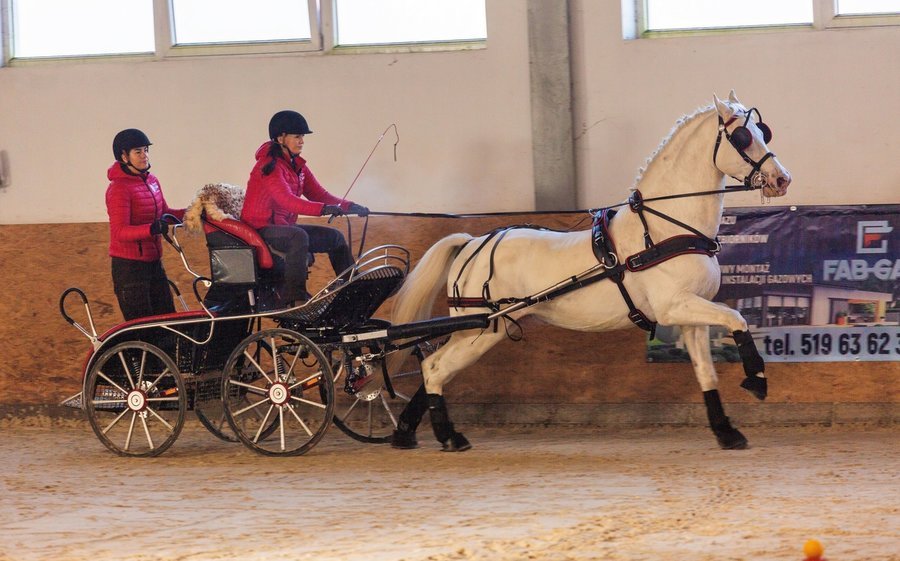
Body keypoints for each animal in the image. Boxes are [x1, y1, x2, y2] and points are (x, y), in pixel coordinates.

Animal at [390, 92, 792, 450]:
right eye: (742, 137)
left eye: (763, 131)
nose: (781, 179)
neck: (663, 228)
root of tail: (473, 242)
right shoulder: (674, 306)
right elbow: (738, 318)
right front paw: (757, 380)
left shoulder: (690, 315)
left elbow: (706, 371)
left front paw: (727, 432)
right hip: (483, 330)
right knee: (435, 368)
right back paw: (448, 437)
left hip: (476, 330)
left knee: (431, 370)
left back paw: (407, 433)